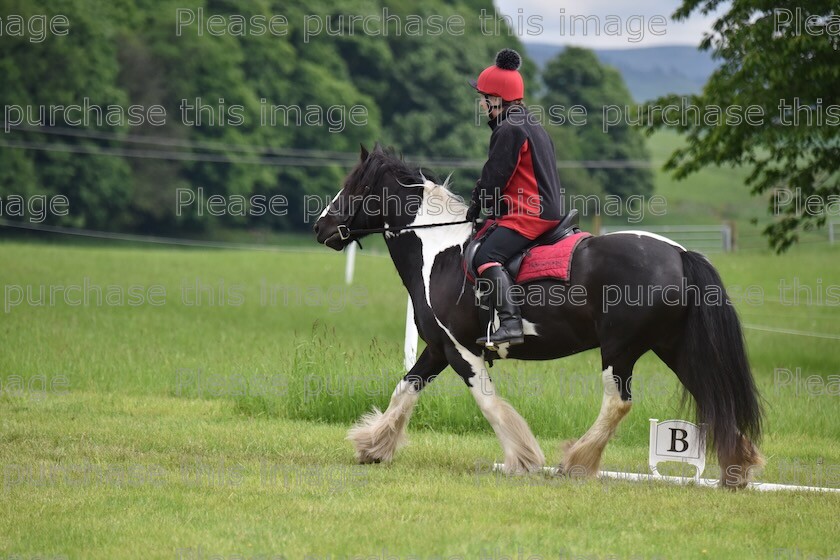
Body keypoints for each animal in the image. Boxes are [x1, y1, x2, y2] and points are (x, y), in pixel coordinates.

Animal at [312, 145, 764, 490]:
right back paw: (736, 469)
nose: (321, 227)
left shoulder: (462, 351)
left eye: (355, 185)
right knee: (714, 396)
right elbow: (405, 390)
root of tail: (679, 254)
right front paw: (372, 446)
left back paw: (577, 463)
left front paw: (524, 459)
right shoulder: (439, 348)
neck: (440, 250)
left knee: (618, 403)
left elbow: (489, 403)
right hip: (674, 347)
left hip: (621, 349)